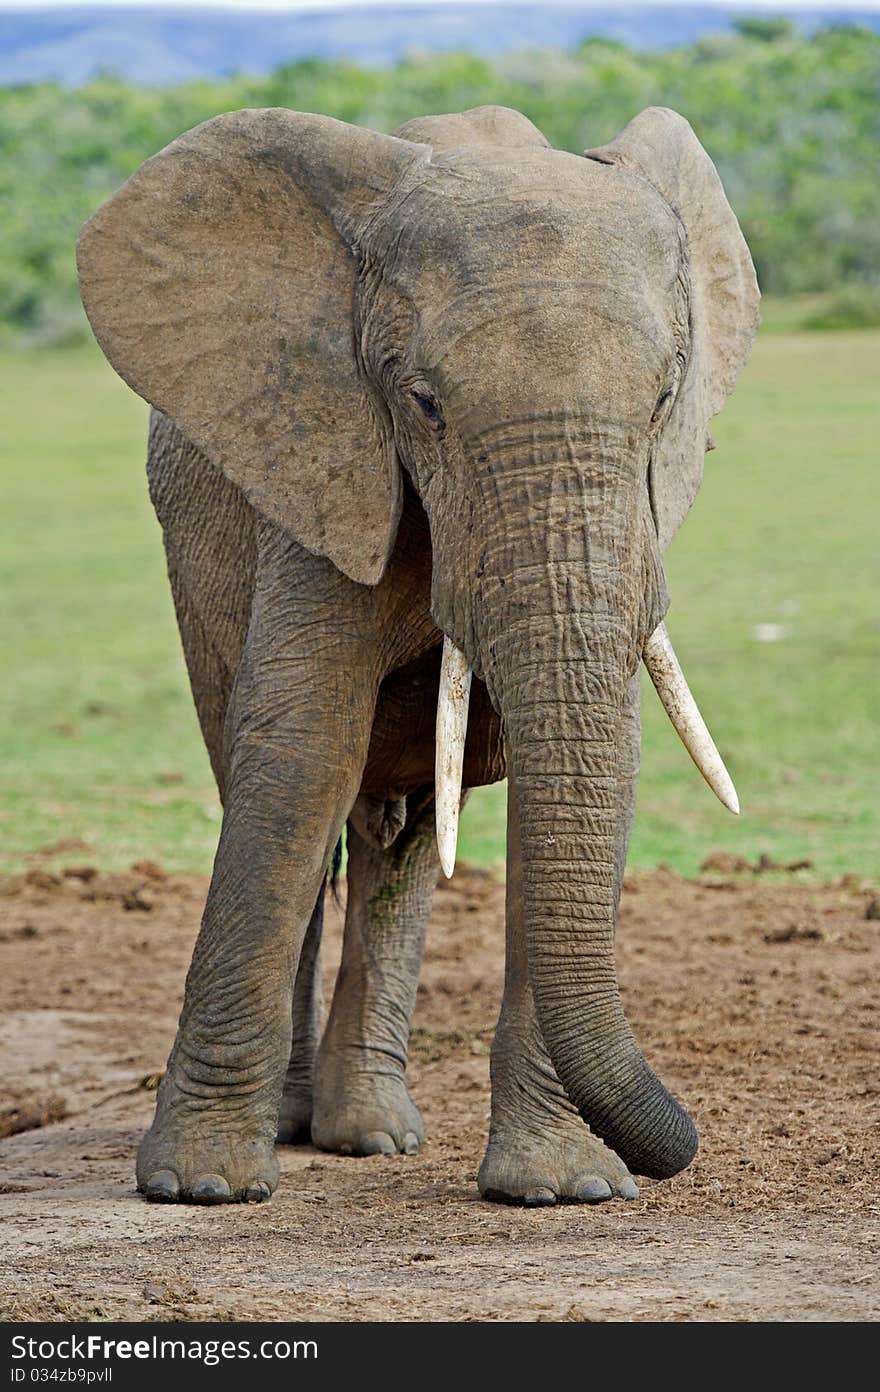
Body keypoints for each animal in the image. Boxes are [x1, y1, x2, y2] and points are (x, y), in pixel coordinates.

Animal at [79, 100, 757, 1208]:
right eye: (425, 403)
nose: (683, 1148)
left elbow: (582, 770)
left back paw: (370, 1135)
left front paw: (562, 1191)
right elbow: (299, 754)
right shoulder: (323, 460)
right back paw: (300, 1129)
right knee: (289, 796)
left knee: (401, 843)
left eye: (665, 400)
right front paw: (201, 1188)